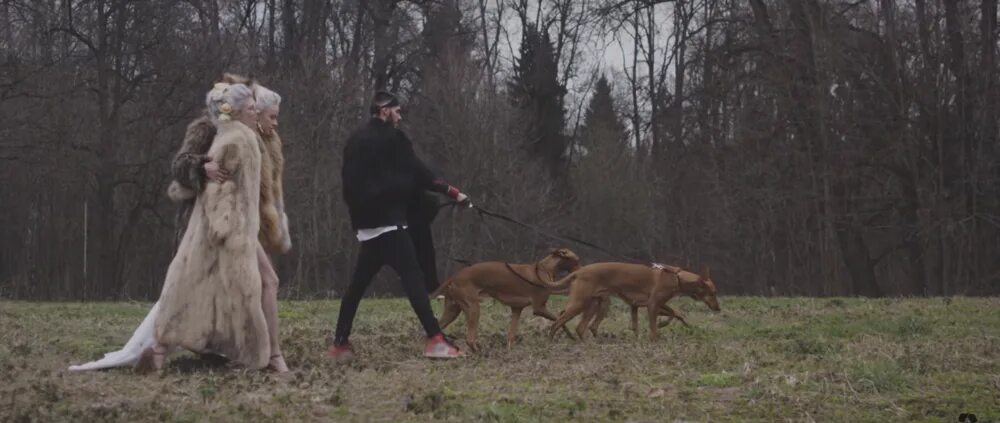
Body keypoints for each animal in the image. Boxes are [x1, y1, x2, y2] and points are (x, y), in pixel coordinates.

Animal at [434, 250, 584, 352]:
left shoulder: (517, 309)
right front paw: (570, 335)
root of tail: (454, 276)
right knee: (469, 339)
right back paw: (480, 353)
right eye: (576, 260)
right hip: (473, 308)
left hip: (452, 310)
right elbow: (559, 319)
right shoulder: (539, 308)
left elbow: (511, 335)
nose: (583, 271)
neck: (543, 270)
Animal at [548, 264, 720, 340]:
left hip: (596, 304)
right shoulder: (652, 305)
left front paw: (667, 323)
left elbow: (676, 313)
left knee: (582, 327)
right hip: (581, 303)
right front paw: (656, 334)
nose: (718, 309)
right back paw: (550, 341)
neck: (677, 278)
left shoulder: (642, 305)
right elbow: (654, 329)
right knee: (556, 322)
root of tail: (579, 271)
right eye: (712, 293)